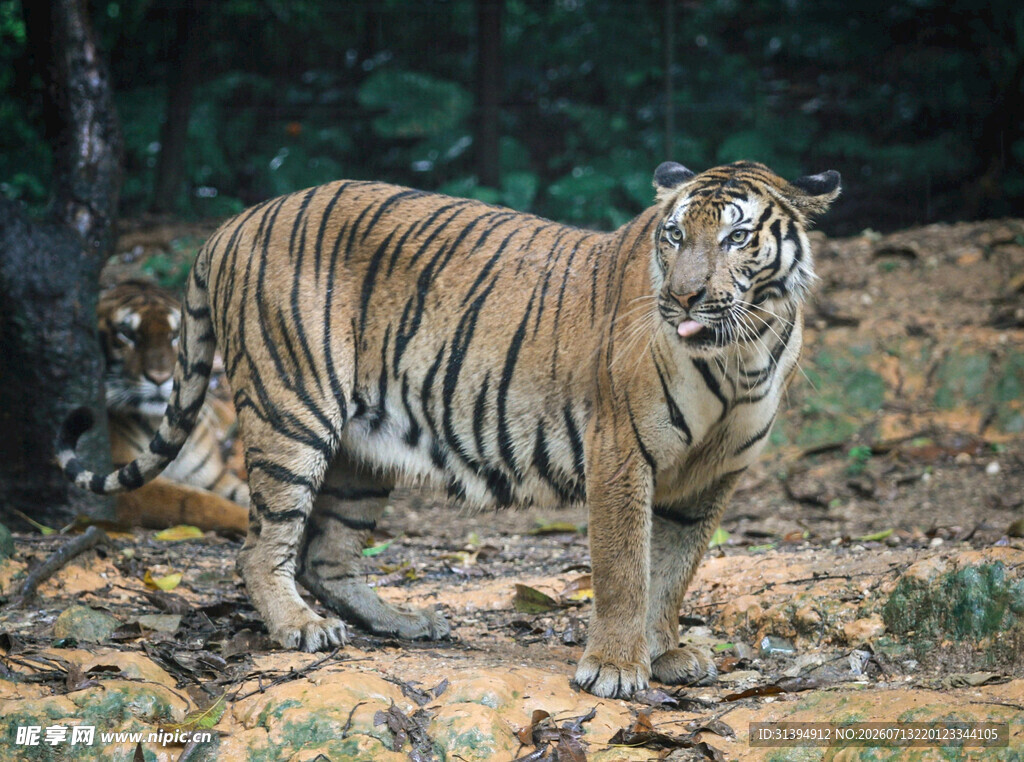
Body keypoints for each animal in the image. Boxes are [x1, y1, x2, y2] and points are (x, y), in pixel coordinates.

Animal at [97, 279, 249, 531]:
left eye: (176, 335)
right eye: (127, 334)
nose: (160, 377)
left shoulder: (213, 478)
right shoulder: (122, 477)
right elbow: (195, 502)